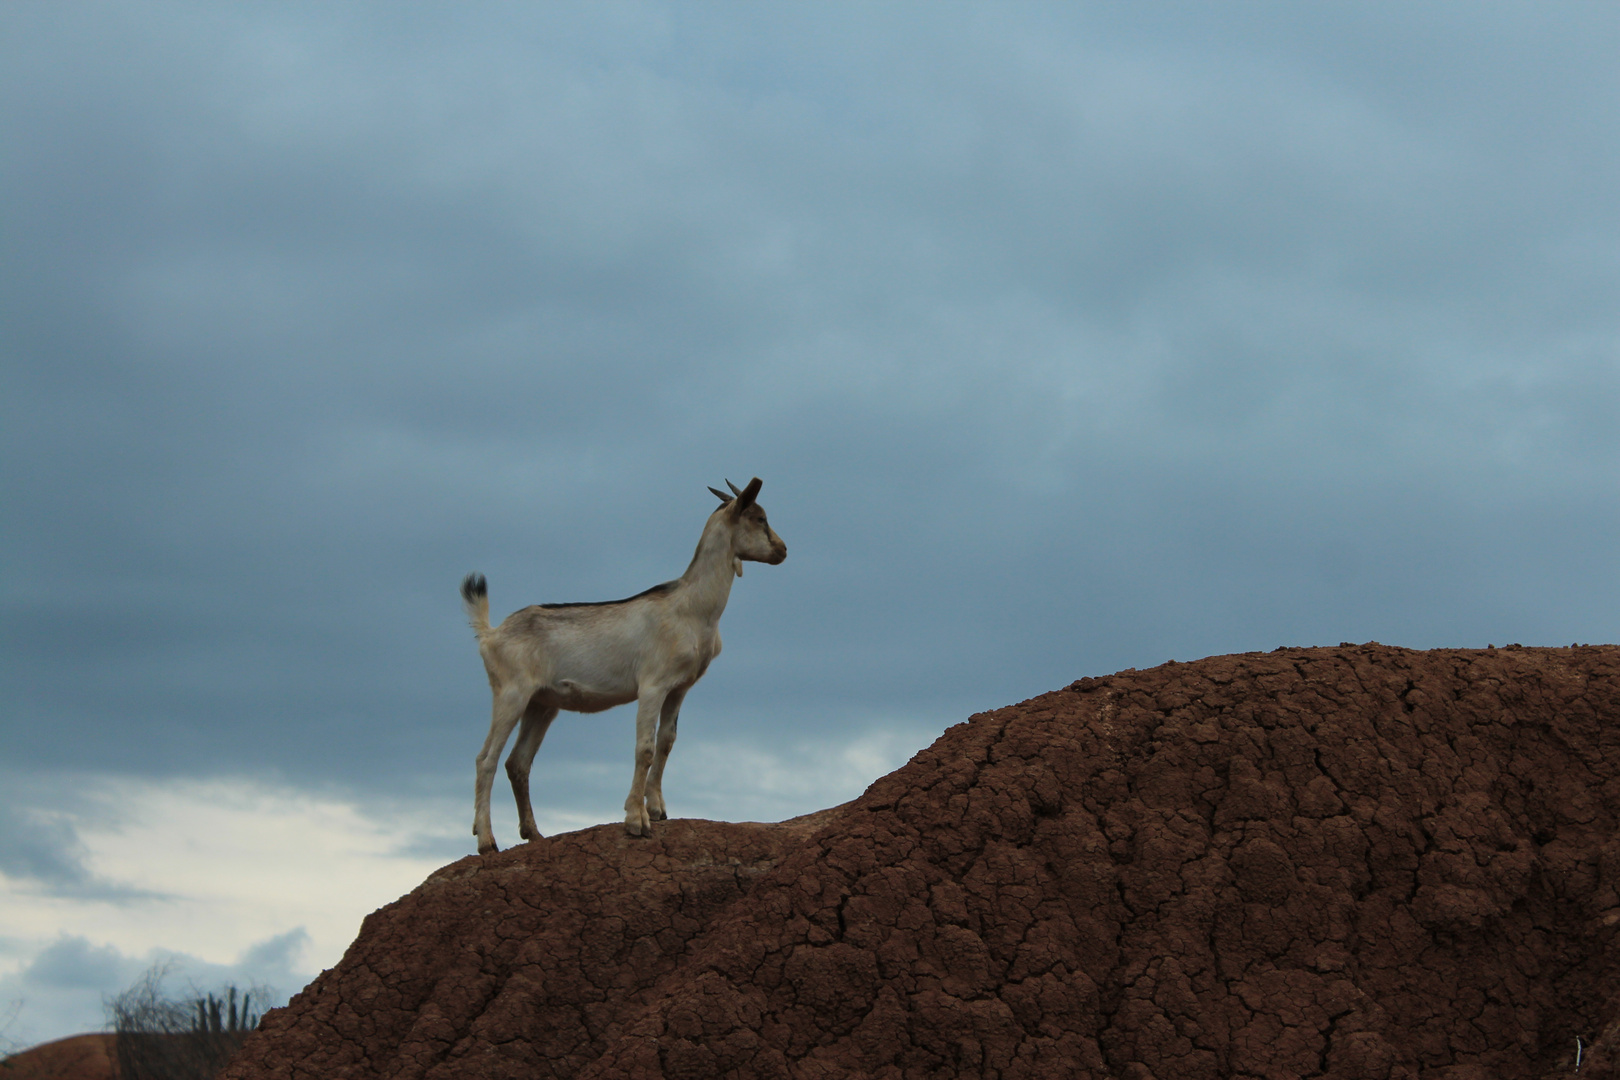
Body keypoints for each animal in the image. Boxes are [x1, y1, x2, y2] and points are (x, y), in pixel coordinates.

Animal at [460, 476, 787, 854]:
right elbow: (644, 748)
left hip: (541, 703)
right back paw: (487, 840)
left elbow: (666, 742)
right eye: (759, 518)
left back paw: (534, 834)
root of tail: (490, 633)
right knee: (486, 759)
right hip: (511, 693)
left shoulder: (680, 687)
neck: (692, 608)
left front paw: (658, 809)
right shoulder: (653, 684)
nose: (783, 550)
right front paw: (636, 821)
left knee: (518, 762)